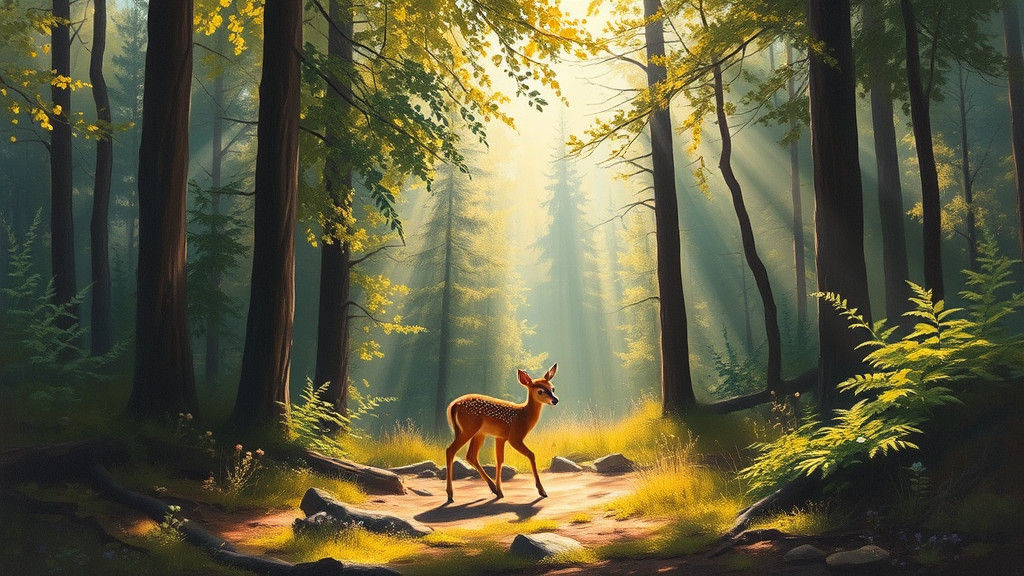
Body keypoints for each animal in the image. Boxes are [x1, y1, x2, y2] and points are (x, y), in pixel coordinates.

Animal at [444, 364, 559, 503]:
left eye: (553, 388)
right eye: (540, 391)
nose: (555, 400)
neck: (523, 416)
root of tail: (453, 405)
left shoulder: (500, 437)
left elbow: (499, 460)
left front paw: (500, 490)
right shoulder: (514, 437)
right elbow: (531, 455)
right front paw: (542, 491)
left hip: (479, 433)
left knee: (471, 455)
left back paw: (493, 488)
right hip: (469, 429)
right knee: (451, 450)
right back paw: (450, 495)